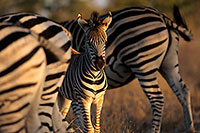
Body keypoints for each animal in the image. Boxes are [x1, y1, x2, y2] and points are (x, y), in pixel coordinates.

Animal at [61, 5, 195, 133]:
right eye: (87, 43)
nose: (100, 64)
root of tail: (162, 16)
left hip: (144, 65)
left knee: (157, 99)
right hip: (169, 64)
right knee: (183, 92)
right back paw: (190, 129)